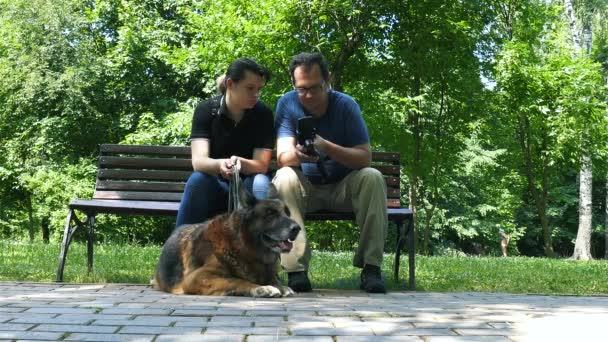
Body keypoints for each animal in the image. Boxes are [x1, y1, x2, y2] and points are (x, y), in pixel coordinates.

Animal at [152, 184, 300, 296]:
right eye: (270, 214)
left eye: (288, 213)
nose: (297, 228)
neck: (241, 246)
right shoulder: (196, 277)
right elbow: (235, 280)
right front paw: (260, 288)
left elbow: (273, 279)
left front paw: (280, 286)